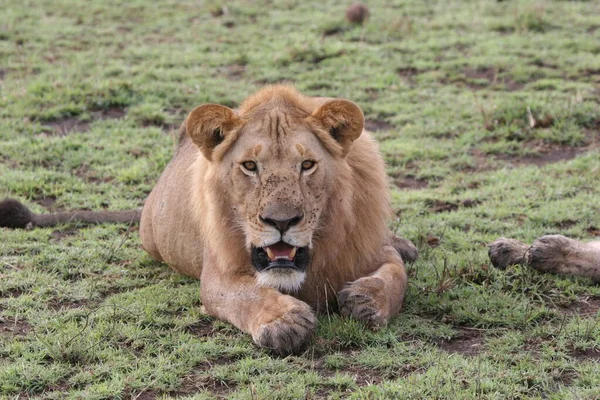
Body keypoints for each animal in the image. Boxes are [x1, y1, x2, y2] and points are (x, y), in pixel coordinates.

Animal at [0, 86, 418, 354]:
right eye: (249, 166)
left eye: (307, 165)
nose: (281, 222)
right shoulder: (217, 274)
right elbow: (247, 295)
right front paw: (284, 322)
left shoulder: (368, 247)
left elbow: (395, 275)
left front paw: (367, 300)